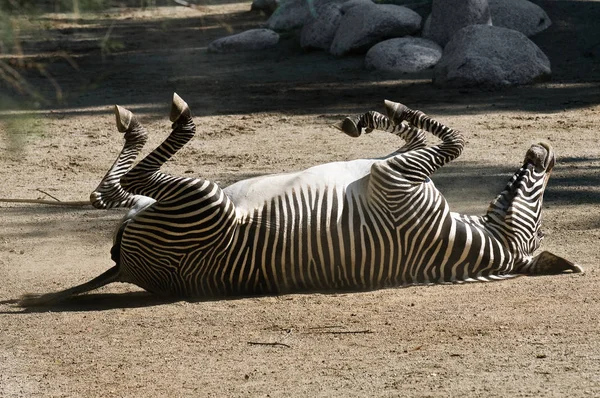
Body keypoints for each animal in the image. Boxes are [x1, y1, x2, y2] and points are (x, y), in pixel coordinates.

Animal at [19, 95, 580, 306]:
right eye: (540, 206)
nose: (545, 151)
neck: (475, 243)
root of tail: (127, 268)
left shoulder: (396, 177)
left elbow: (455, 141)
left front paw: (386, 111)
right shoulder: (395, 169)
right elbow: (425, 135)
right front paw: (376, 115)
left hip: (200, 202)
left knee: (119, 186)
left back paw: (161, 119)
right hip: (166, 205)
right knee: (108, 193)